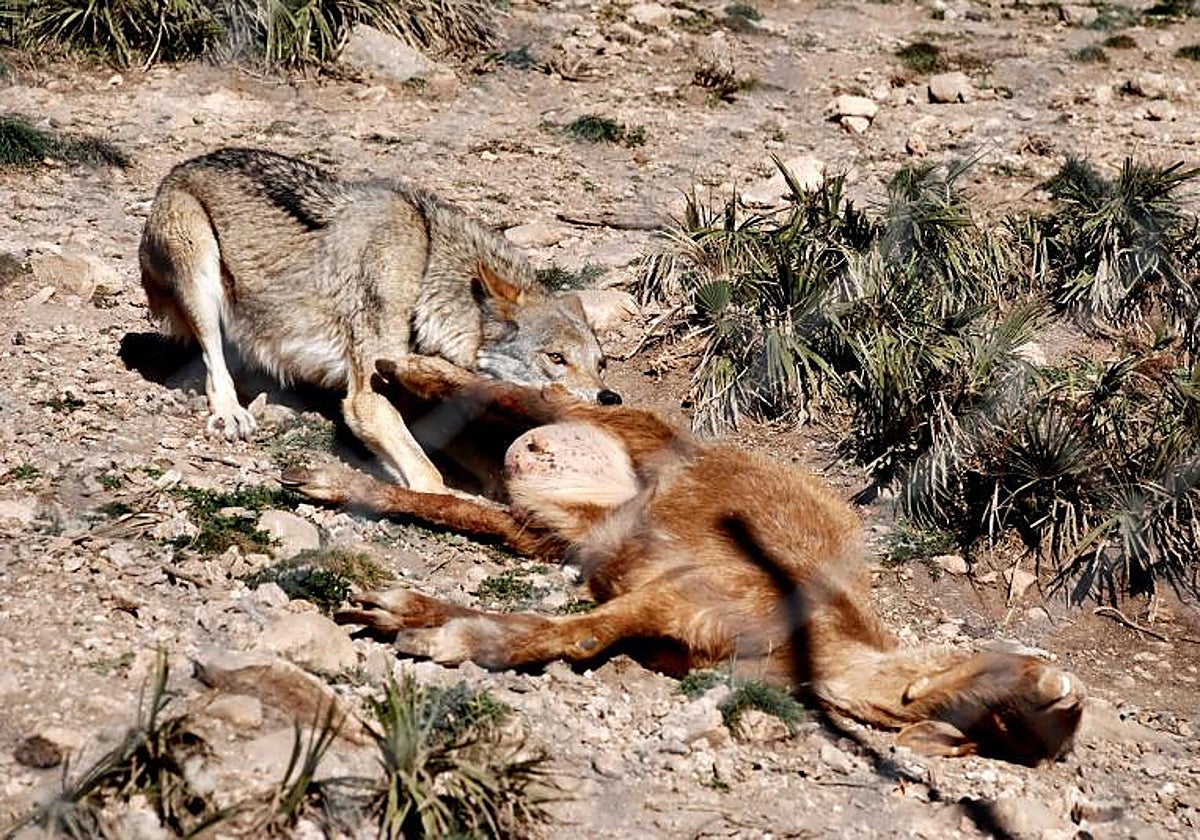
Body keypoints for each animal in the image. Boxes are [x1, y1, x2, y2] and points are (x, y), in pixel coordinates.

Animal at [139, 147, 619, 491]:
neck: (425, 270)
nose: (610, 400)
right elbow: (430, 476)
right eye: (555, 358)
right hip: (200, 269)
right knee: (213, 360)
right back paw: (232, 411)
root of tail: (181, 166)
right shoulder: (366, 400)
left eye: (601, 363)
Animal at [285, 356, 1085, 766]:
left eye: (1011, 732)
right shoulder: (697, 586)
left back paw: (334, 481)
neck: (816, 647)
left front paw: (415, 619)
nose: (1065, 689)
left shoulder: (675, 619)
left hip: (546, 527)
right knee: (524, 392)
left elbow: (581, 633)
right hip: (615, 428)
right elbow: (576, 633)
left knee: (461, 499)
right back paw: (398, 369)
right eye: (1023, 688)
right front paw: (433, 629)